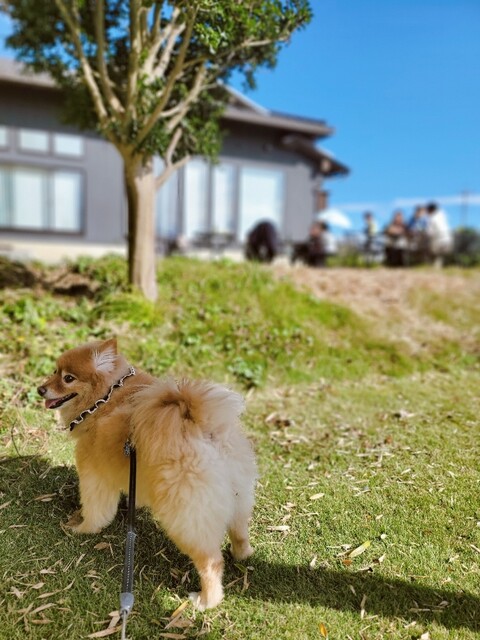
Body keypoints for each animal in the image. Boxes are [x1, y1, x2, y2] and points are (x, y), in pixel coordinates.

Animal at [37, 338, 256, 610]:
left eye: (68, 378)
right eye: (55, 371)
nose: (40, 389)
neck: (106, 398)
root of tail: (206, 430)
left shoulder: (94, 474)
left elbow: (96, 511)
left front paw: (82, 528)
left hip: (185, 516)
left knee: (211, 562)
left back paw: (206, 600)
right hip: (238, 495)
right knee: (239, 530)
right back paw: (242, 554)